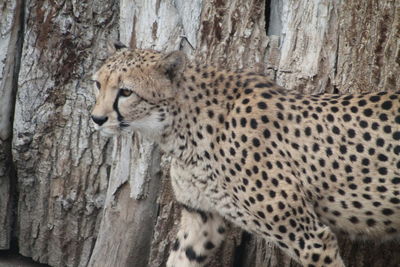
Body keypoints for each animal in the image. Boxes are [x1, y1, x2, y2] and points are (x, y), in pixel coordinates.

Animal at [90, 43, 400, 266]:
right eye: (98, 84)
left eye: (126, 92)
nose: (96, 119)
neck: (179, 129)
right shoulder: (202, 219)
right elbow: (181, 257)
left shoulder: (310, 238)